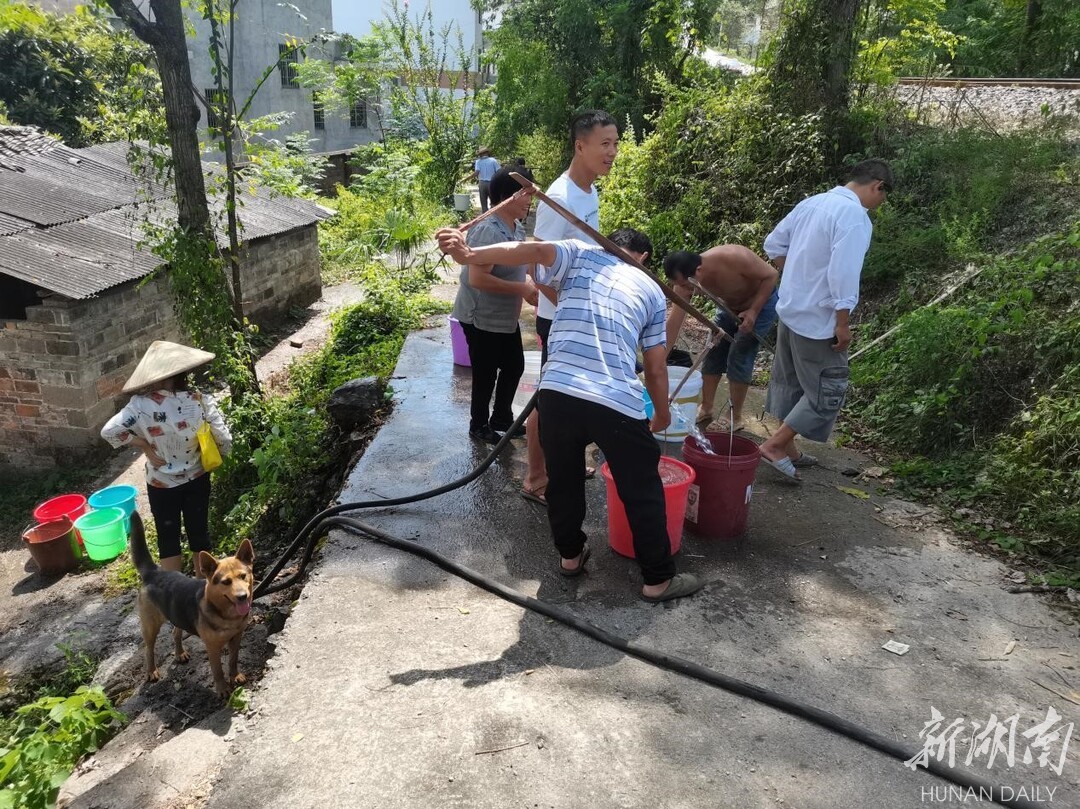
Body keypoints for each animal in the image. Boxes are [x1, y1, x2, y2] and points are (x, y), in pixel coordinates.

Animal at [129, 511, 255, 695]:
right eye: (226, 582)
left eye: (243, 576)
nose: (242, 597)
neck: (225, 614)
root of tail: (154, 572)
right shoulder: (212, 647)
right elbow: (217, 670)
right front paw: (222, 688)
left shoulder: (236, 637)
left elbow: (233, 660)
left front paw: (235, 676)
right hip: (150, 626)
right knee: (149, 649)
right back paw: (151, 670)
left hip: (176, 615)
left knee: (175, 633)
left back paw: (179, 653)